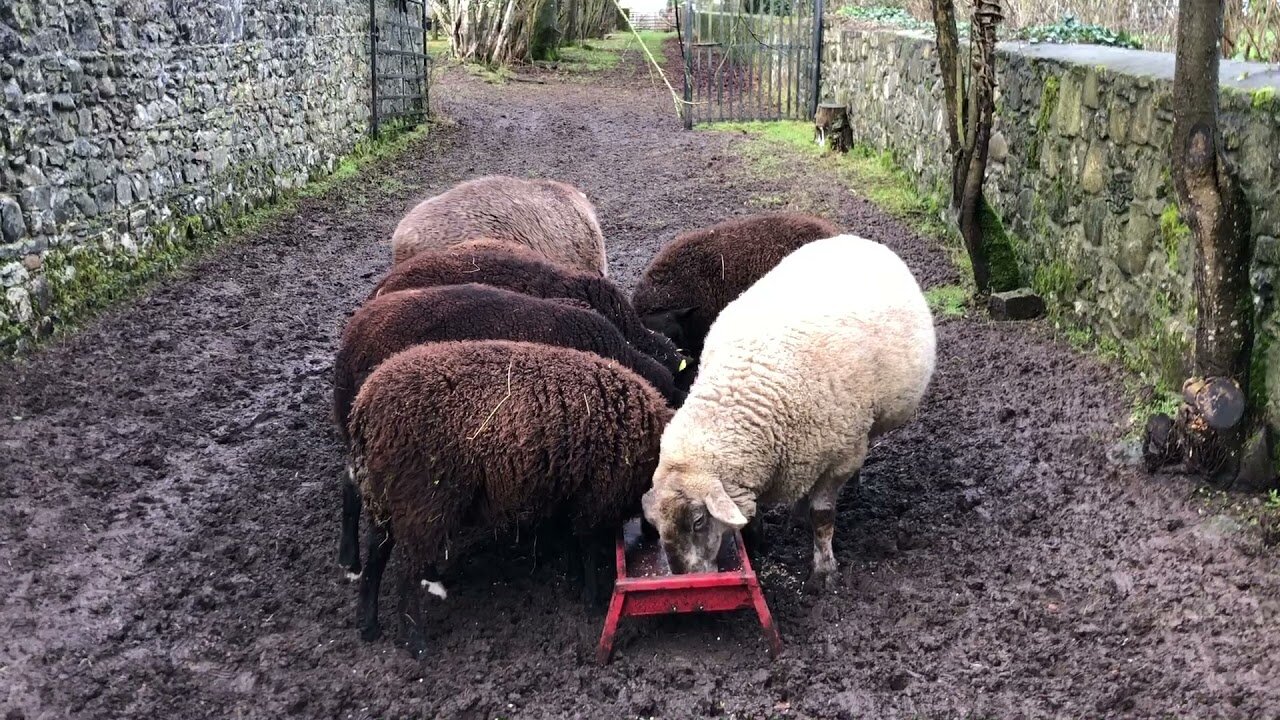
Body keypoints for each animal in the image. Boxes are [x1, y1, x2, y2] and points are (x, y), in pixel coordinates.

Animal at [350, 338, 670, 648]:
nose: (654, 537)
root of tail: (363, 408)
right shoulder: (594, 499)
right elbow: (587, 549)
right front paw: (592, 599)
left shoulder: (568, 494)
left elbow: (571, 543)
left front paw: (574, 580)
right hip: (421, 503)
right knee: (406, 572)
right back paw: (415, 642)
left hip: (383, 497)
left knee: (376, 559)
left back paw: (369, 626)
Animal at [645, 235, 936, 589]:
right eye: (657, 525)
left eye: (698, 521)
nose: (685, 578)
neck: (743, 393)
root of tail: (854, 239)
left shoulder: (839, 458)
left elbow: (822, 518)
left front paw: (824, 571)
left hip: (861, 430)